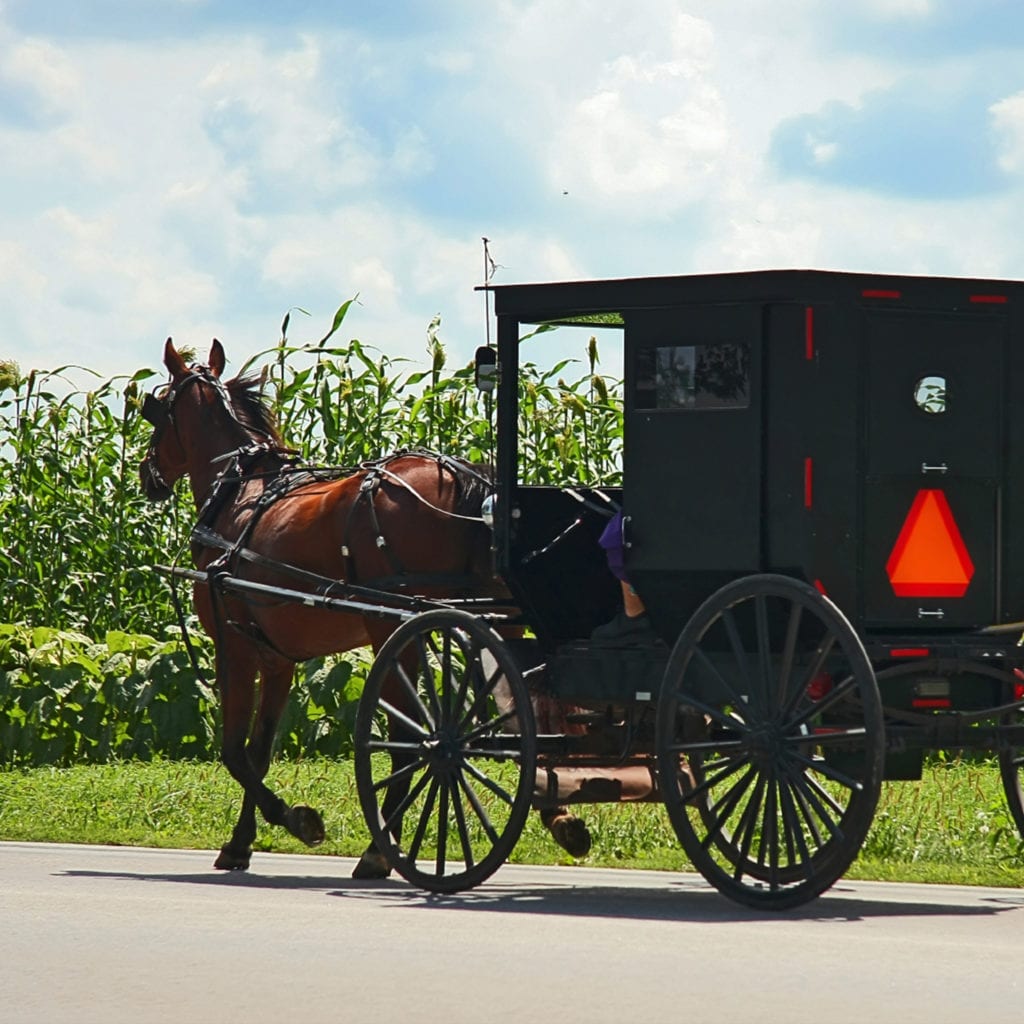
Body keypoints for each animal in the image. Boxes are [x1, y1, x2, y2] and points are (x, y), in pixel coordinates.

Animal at [139, 339, 589, 876]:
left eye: (154, 408)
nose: (146, 476)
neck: (239, 495)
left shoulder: (236, 648)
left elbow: (233, 752)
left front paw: (296, 820)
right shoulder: (278, 660)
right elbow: (259, 751)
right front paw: (241, 842)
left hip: (391, 629)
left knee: (411, 741)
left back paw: (380, 849)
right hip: (496, 624)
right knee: (527, 715)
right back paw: (559, 817)